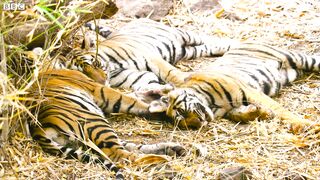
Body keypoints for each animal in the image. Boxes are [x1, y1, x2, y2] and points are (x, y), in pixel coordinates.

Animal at [29, 68, 188, 179]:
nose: (105, 76)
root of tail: (38, 128)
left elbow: (138, 95)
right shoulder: (101, 90)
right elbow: (131, 100)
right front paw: (162, 102)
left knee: (132, 147)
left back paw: (173, 149)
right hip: (93, 121)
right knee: (121, 155)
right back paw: (164, 163)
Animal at [157, 41, 320, 133]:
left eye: (182, 112)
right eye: (187, 125)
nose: (199, 123)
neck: (212, 104)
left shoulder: (250, 92)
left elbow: (281, 110)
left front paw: (305, 125)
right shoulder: (231, 108)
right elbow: (239, 114)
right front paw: (259, 112)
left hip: (297, 58)